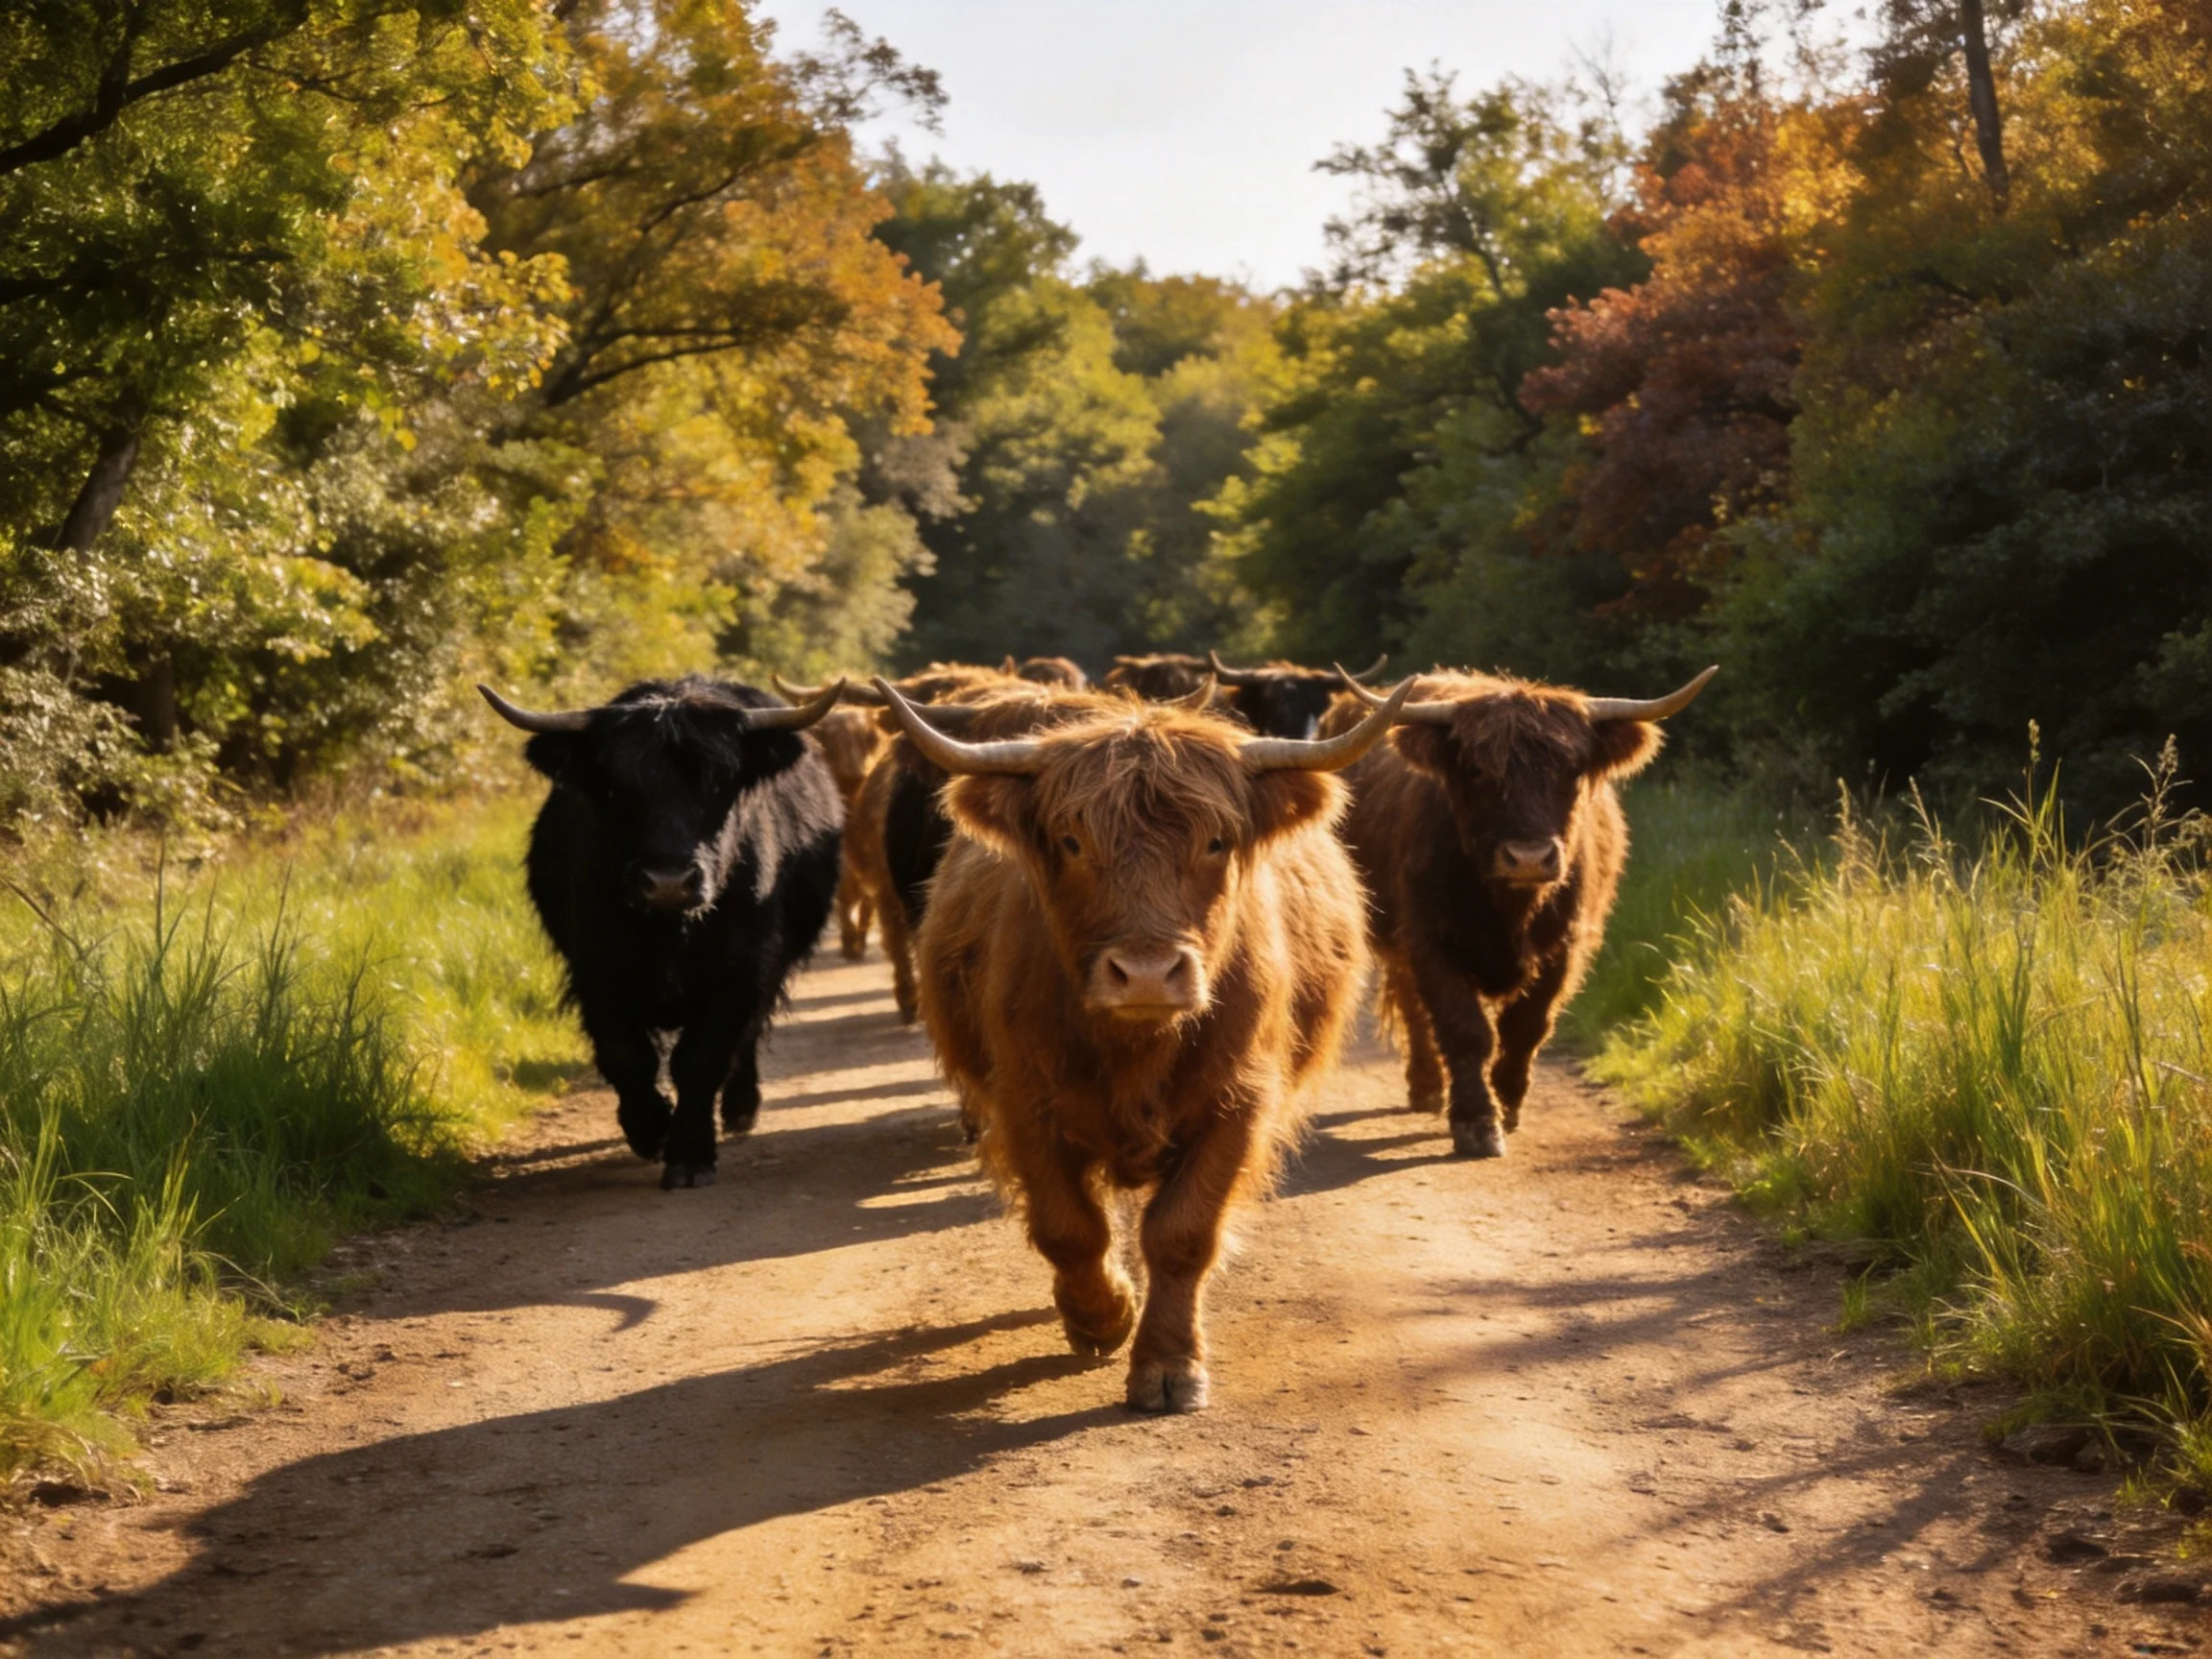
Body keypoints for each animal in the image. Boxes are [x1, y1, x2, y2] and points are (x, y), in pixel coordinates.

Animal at [480, 676, 846, 1189]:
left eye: (718, 779)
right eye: (613, 787)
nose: (668, 881)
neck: (672, 931)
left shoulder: (741, 972)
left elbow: (701, 1058)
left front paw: (690, 1155)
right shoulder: (596, 971)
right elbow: (628, 1056)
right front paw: (649, 1128)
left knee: (748, 1038)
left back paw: (740, 1111)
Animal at [890, 673, 1412, 1412]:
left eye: (1216, 841)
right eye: (1072, 841)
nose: (1144, 973)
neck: (1139, 1047)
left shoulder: (1238, 1102)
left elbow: (1182, 1232)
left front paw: (1168, 1366)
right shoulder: (1025, 1102)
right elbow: (1069, 1226)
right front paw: (1103, 1316)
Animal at [1326, 665, 1717, 1159]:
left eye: (1571, 769)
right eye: (1477, 770)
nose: (1528, 857)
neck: (1511, 908)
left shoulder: (1565, 947)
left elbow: (1526, 1026)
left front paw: (1508, 1102)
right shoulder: (1432, 941)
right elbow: (1465, 1029)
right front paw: (1476, 1122)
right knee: (1413, 1005)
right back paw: (1427, 1086)